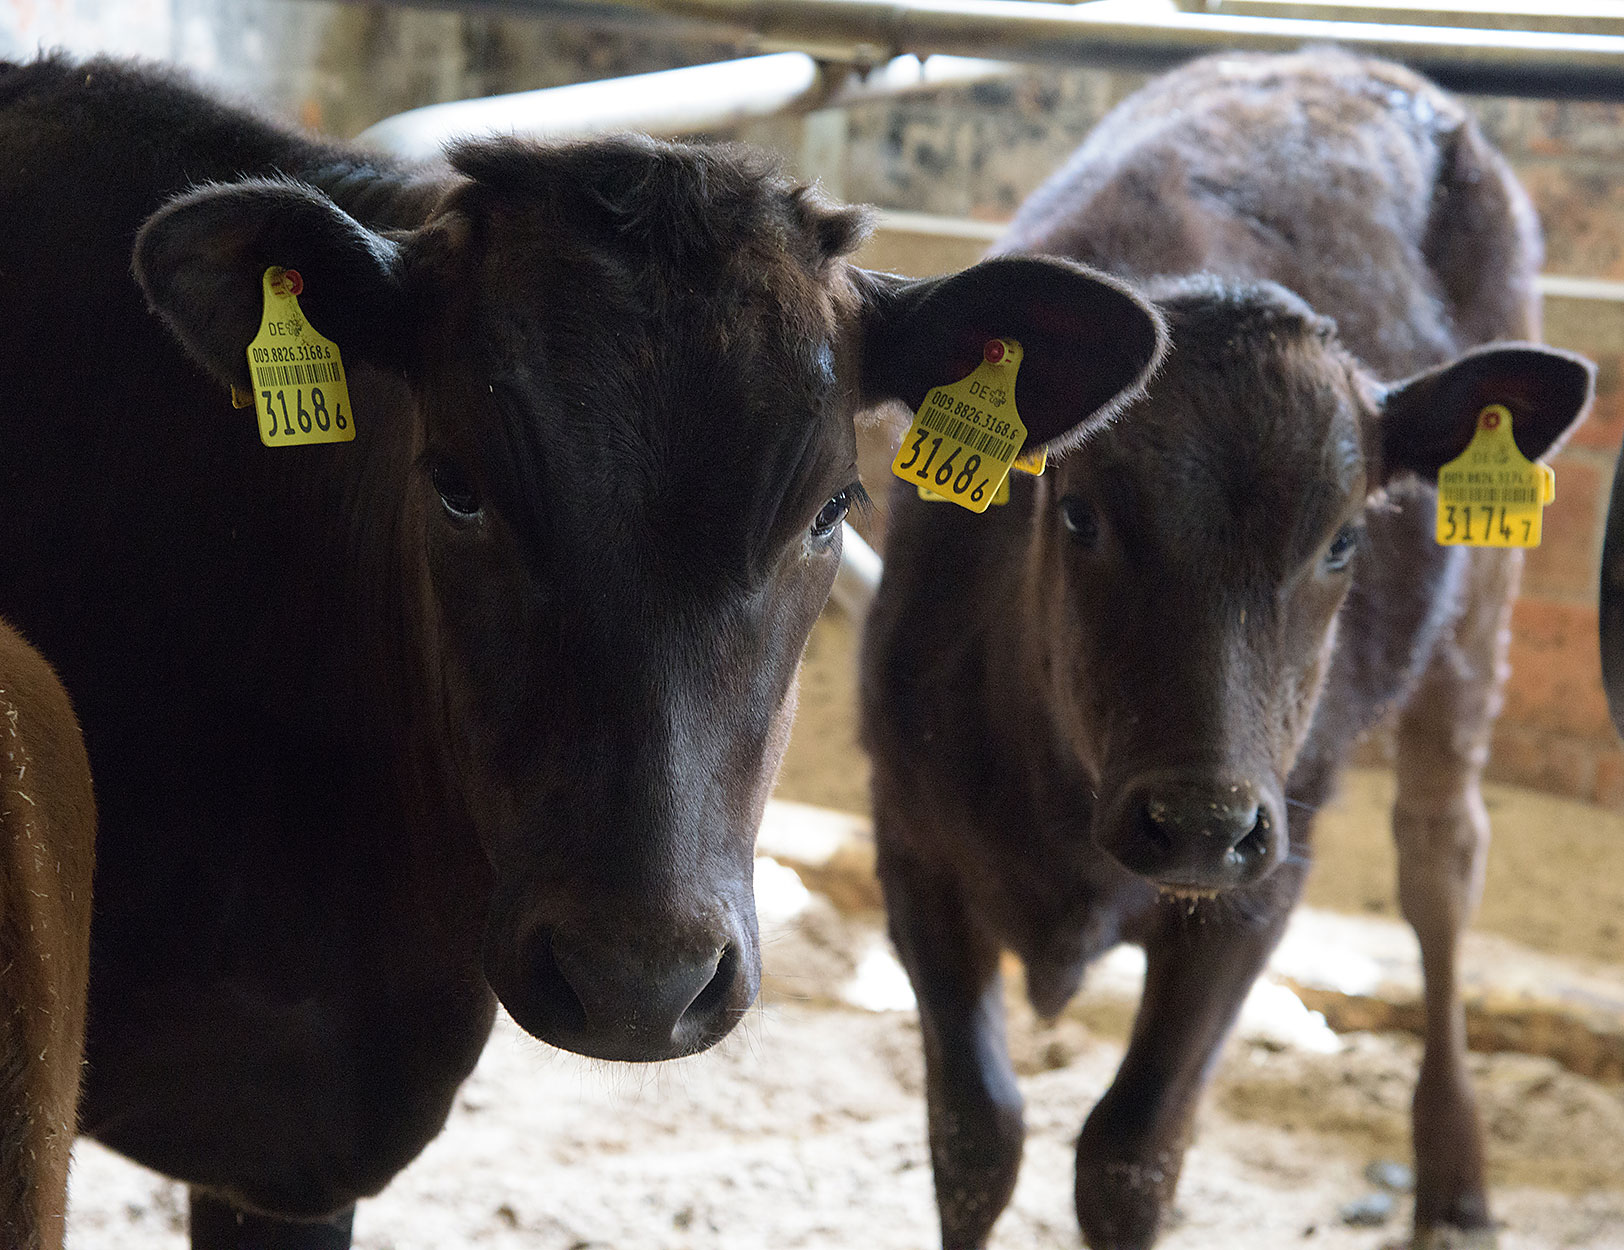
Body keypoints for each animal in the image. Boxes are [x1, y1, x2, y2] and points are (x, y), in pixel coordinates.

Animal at [870, 48, 1591, 1246]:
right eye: (1078, 513)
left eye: (1342, 538)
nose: (1199, 821)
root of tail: (1347, 60)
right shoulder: (913, 837)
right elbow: (974, 1137)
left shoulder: (1262, 882)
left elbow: (1128, 1155)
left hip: (1474, 626)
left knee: (1440, 861)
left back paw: (1453, 1174)